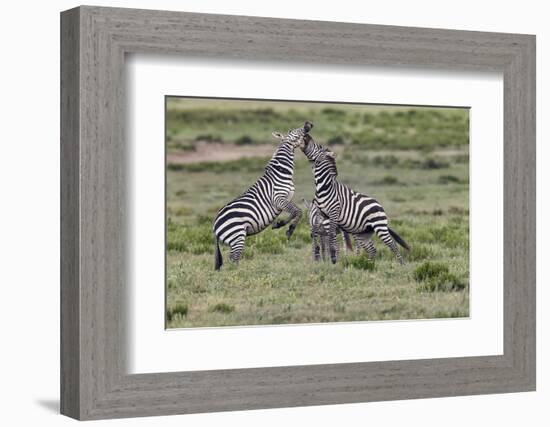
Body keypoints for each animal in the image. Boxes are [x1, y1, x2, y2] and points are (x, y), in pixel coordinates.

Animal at [212, 120, 314, 270]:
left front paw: (279, 224)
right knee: (233, 259)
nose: (308, 123)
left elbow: (294, 211)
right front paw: (289, 230)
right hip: (237, 236)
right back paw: (239, 274)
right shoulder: (278, 199)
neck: (281, 171)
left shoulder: (287, 199)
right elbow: (298, 211)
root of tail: (215, 226)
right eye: (294, 131)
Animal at [302, 136, 410, 264]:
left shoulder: (332, 215)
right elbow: (321, 240)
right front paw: (323, 259)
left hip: (379, 226)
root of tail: (379, 205)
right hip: (363, 233)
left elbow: (332, 241)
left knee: (392, 244)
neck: (324, 186)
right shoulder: (320, 218)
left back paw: (401, 264)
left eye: (318, 146)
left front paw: (333, 260)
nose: (307, 136)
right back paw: (367, 264)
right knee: (372, 249)